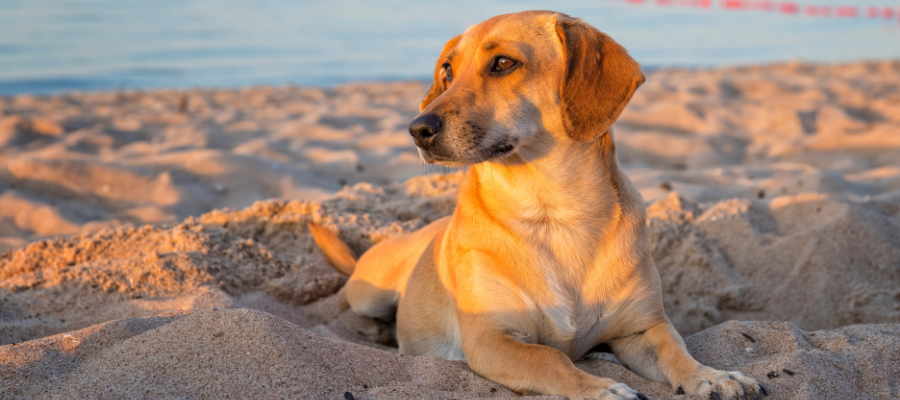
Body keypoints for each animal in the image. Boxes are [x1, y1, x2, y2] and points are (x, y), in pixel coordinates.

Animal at [310, 10, 768, 400]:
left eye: (503, 63)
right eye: (447, 71)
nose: (418, 129)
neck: (552, 210)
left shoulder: (644, 328)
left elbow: (677, 352)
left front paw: (712, 377)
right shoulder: (492, 339)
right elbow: (551, 359)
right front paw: (599, 388)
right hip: (370, 293)